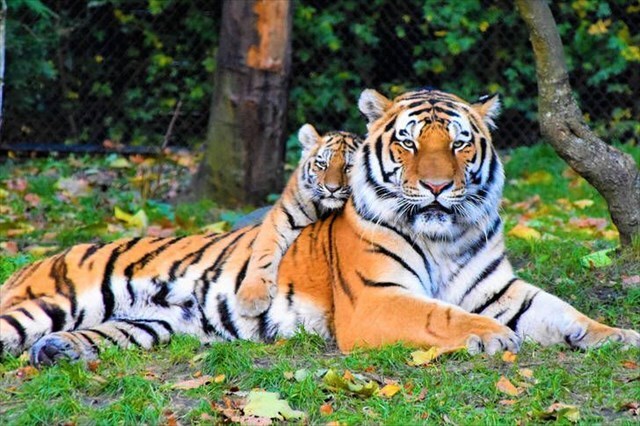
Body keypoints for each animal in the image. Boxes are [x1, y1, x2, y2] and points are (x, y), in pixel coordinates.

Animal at [235, 124, 361, 316]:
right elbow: (263, 254)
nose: (332, 189)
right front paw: (251, 298)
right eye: (322, 164)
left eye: (349, 167)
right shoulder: (280, 218)